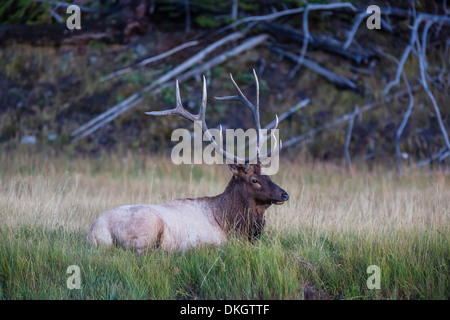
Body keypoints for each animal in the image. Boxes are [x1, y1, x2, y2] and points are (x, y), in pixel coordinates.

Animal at [88, 70, 288, 252]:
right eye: (254, 180)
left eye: (268, 176)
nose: (285, 194)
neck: (230, 223)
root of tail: (95, 232)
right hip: (148, 227)